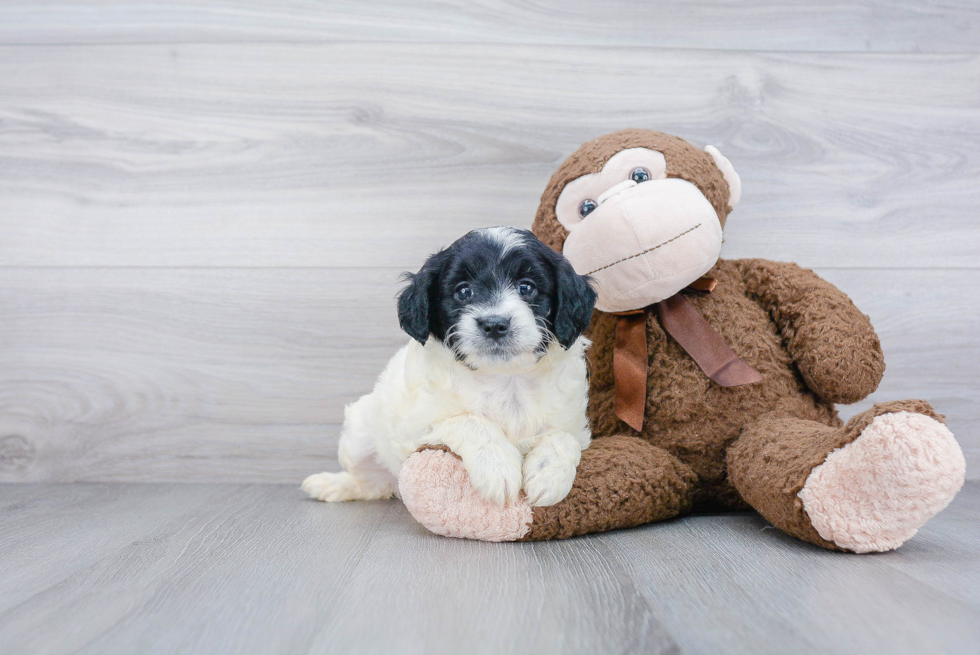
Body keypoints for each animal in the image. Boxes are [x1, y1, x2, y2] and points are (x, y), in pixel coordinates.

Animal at [302, 228, 596, 510]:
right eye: (464, 291)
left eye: (527, 287)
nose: (494, 324)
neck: (505, 379)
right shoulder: (414, 428)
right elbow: (468, 421)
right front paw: (497, 467)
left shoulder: (573, 424)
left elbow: (564, 437)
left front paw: (550, 475)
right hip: (358, 435)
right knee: (370, 481)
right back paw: (332, 484)